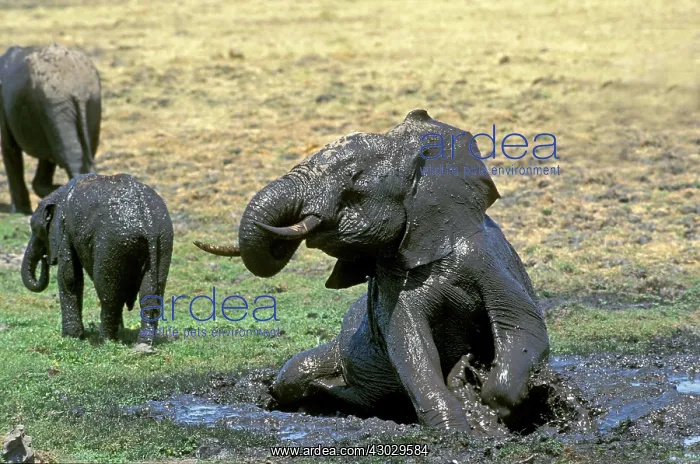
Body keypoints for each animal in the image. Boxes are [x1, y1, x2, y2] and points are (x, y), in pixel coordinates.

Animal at [21, 173, 173, 344]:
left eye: (36, 229)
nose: (45, 258)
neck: (61, 194)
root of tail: (148, 224)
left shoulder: (66, 232)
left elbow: (69, 277)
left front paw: (72, 337)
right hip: (163, 240)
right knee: (150, 294)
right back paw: (143, 343)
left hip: (112, 243)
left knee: (108, 295)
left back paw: (105, 341)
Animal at [194, 109, 550, 432]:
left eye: (353, 176)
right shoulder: (392, 282)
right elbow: (410, 347)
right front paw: (458, 429)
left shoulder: (486, 256)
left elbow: (521, 326)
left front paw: (473, 404)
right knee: (293, 374)